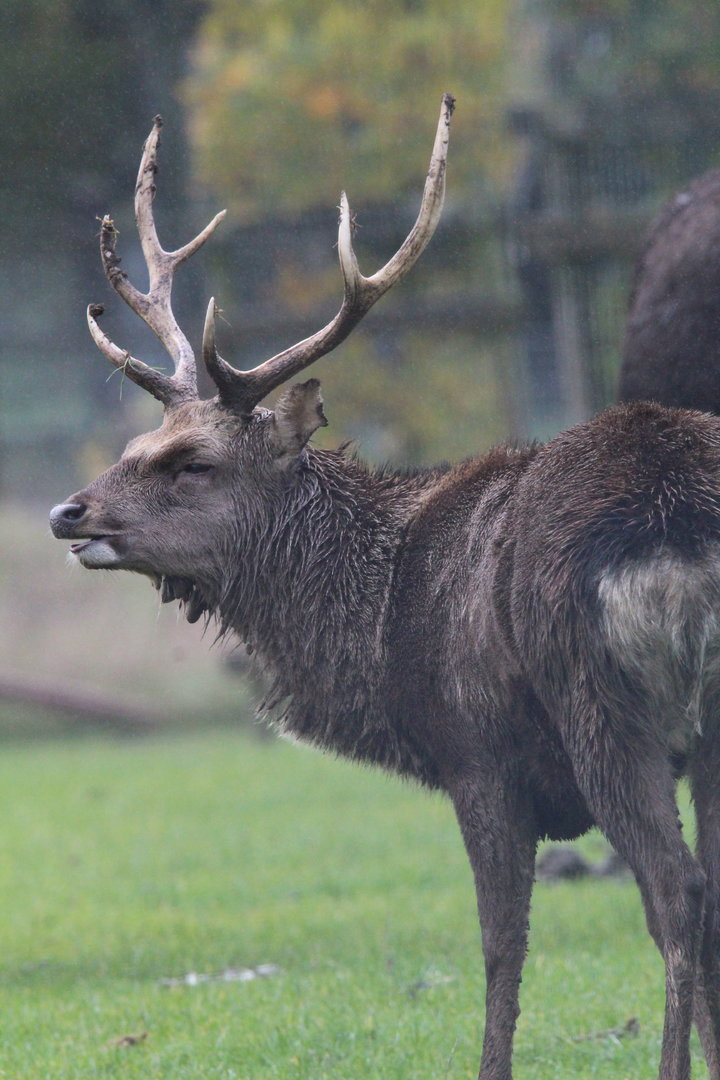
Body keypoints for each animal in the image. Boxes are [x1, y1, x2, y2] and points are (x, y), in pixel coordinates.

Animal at [49, 95, 720, 1080]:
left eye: (193, 462)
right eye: (137, 445)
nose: (69, 510)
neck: (374, 623)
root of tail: (680, 526)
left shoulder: (477, 753)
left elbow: (500, 948)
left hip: (600, 705)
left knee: (674, 890)